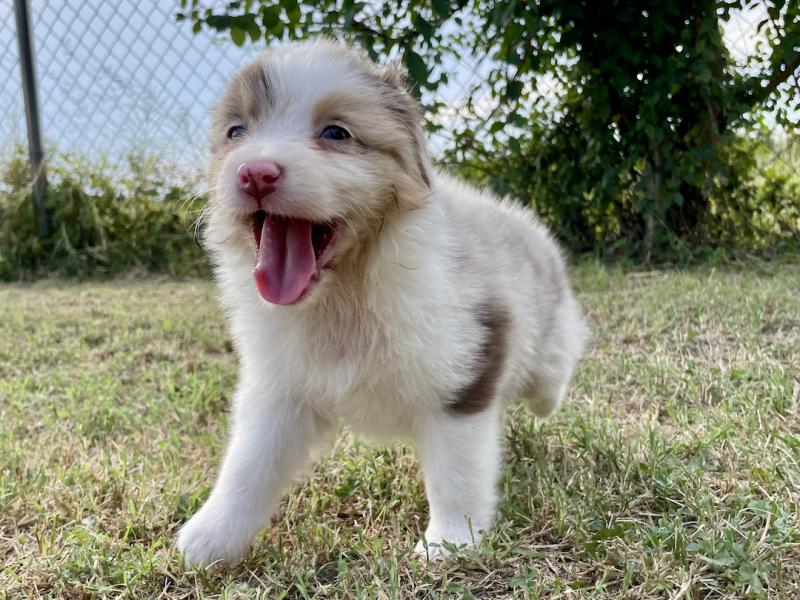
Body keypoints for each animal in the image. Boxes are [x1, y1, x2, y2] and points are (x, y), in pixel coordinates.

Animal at [177, 39, 588, 564]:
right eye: (236, 132)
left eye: (336, 132)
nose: (255, 173)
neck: (346, 293)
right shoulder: (279, 387)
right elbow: (248, 463)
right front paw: (210, 537)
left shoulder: (467, 369)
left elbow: (457, 469)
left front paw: (448, 542)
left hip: (547, 335)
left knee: (553, 369)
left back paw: (547, 399)